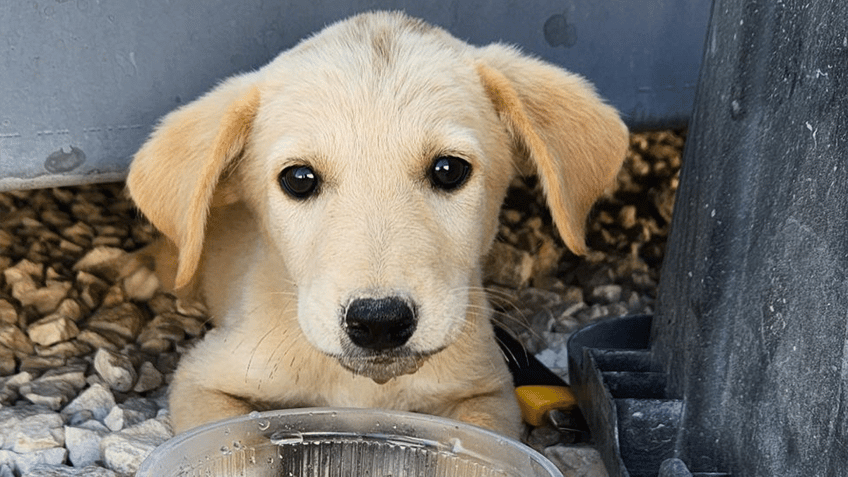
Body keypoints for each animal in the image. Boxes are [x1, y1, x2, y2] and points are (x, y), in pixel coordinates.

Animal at [127, 10, 628, 436]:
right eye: (299, 179)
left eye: (449, 169)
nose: (379, 322)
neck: (366, 386)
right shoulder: (201, 378)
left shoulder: (489, 393)